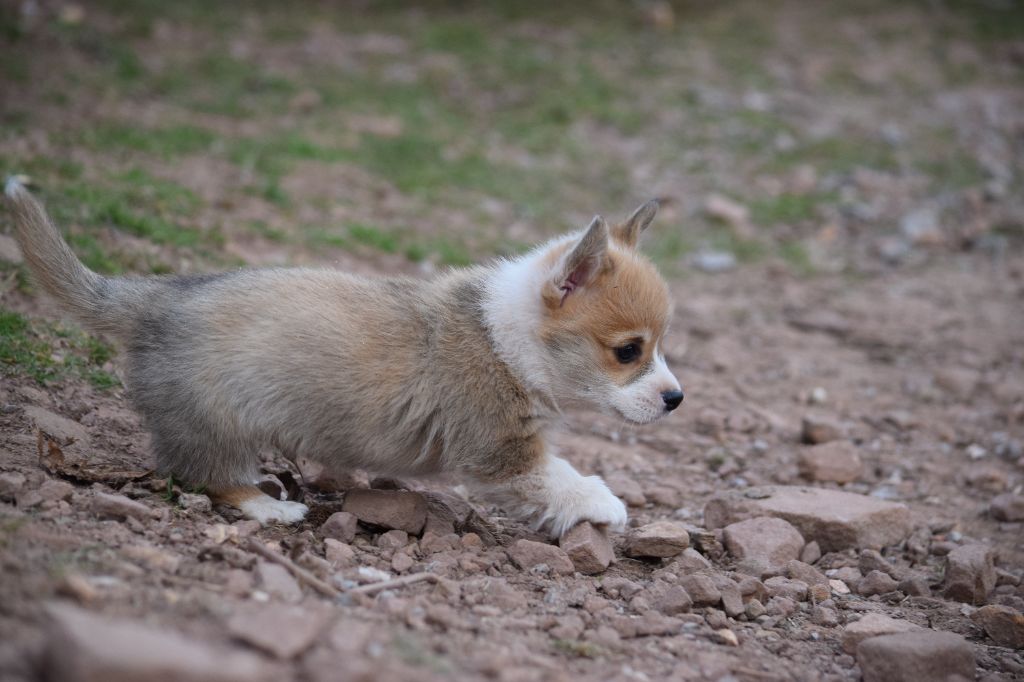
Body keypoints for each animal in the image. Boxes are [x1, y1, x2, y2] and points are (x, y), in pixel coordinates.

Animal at [6, 179, 688, 536]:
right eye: (628, 351)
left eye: (659, 346)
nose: (676, 399)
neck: (507, 333)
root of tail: (151, 299)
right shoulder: (501, 455)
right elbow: (563, 478)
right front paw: (607, 504)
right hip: (217, 423)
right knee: (207, 477)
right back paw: (271, 505)